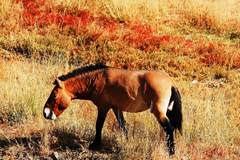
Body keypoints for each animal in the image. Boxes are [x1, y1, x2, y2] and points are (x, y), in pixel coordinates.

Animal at [43, 63, 182, 155]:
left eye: (54, 95)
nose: (45, 112)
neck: (97, 79)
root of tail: (171, 82)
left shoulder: (103, 107)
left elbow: (98, 125)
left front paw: (95, 144)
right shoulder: (116, 108)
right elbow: (123, 125)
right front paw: (126, 142)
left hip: (158, 111)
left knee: (169, 128)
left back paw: (171, 152)